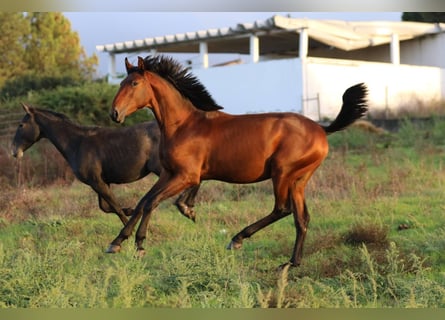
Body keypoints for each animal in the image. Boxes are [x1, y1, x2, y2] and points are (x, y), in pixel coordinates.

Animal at [10, 104, 199, 225]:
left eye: (21, 125)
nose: (14, 151)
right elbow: (106, 207)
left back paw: (185, 208)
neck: (77, 143)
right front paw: (130, 210)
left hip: (164, 169)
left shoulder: (97, 182)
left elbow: (114, 207)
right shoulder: (101, 182)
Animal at [108, 55, 368, 268]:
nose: (115, 114)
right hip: (299, 180)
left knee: (282, 209)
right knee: (301, 218)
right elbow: (143, 201)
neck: (183, 125)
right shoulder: (168, 174)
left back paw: (238, 239)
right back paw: (291, 263)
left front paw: (140, 245)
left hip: (282, 173)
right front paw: (117, 242)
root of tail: (322, 129)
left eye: (134, 84)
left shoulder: (186, 176)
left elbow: (152, 202)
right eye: (121, 83)